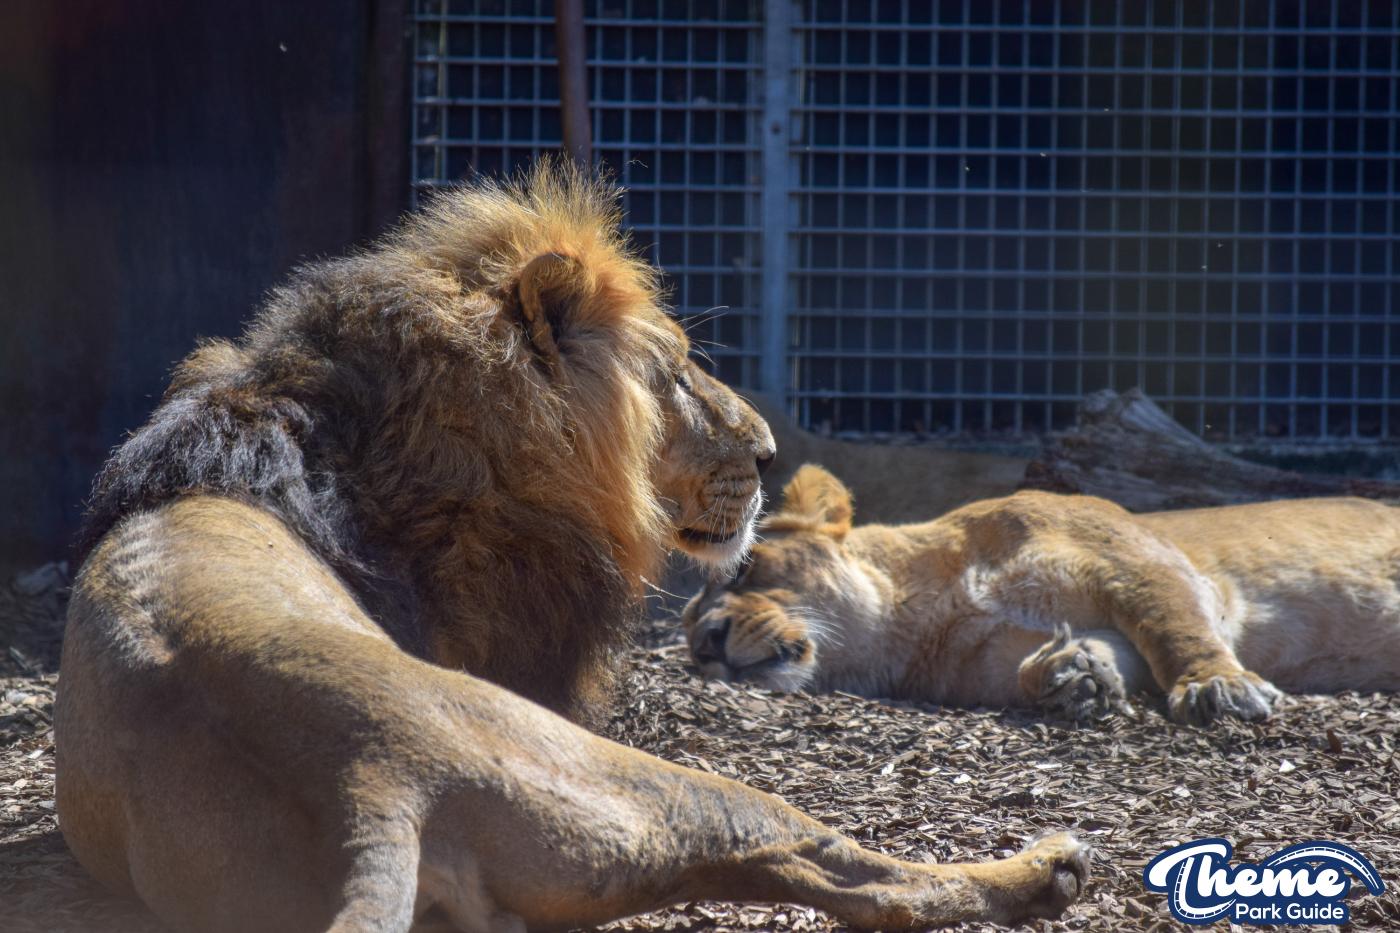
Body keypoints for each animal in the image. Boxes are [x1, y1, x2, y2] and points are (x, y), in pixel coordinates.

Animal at [56, 165, 1087, 932]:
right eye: (676, 373)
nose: (767, 451)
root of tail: (369, 782)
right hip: (643, 781)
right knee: (854, 871)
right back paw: (1044, 868)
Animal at [684, 463, 1400, 726]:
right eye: (687, 644)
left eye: (744, 571)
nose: (706, 645)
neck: (921, 617)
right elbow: (1107, 656)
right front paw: (1071, 675)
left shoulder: (1136, 561)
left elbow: (1175, 628)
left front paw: (1217, 687)